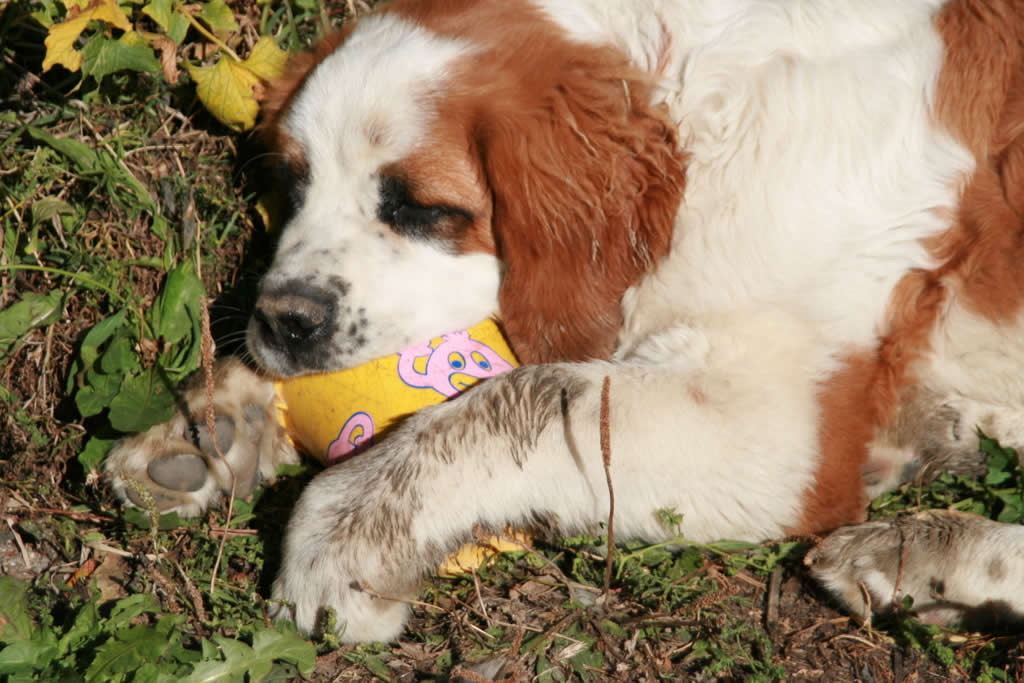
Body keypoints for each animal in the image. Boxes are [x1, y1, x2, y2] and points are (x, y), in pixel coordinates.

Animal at [105, 0, 1024, 642]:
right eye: (291, 188)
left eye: (423, 208)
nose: (283, 321)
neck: (700, 101)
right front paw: (215, 423)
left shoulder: (778, 421)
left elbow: (527, 398)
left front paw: (347, 532)